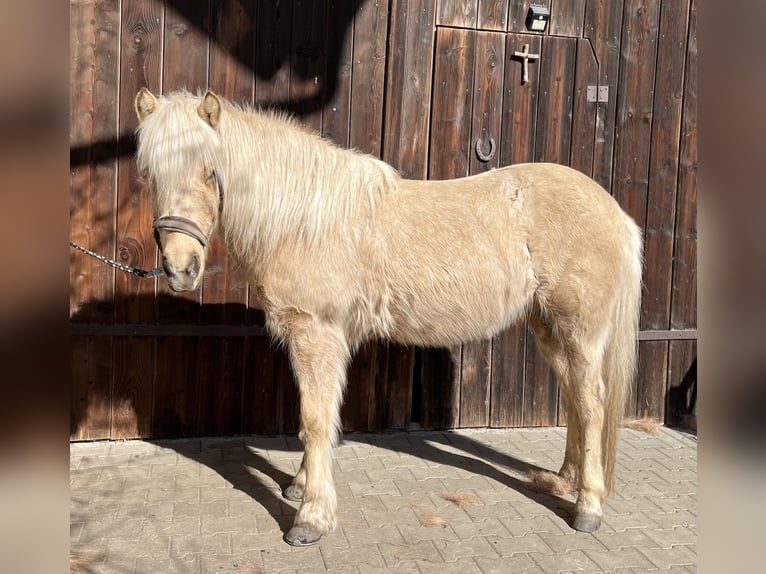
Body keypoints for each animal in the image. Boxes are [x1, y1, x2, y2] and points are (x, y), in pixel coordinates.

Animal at [134, 88, 643, 547]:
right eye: (151, 174)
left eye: (210, 171)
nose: (180, 268)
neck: (303, 219)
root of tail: (616, 213)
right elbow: (317, 417)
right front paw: (300, 486)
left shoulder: (316, 334)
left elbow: (315, 421)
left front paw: (310, 519)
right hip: (550, 329)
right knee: (575, 400)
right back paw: (565, 480)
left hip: (580, 331)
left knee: (592, 404)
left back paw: (588, 508)